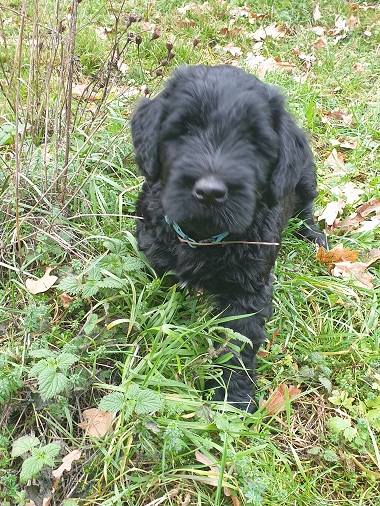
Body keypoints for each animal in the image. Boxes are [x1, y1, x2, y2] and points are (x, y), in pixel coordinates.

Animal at [131, 64, 326, 412]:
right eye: (184, 130)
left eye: (254, 142)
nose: (209, 192)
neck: (204, 237)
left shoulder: (248, 292)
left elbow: (237, 344)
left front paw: (231, 399)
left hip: (304, 177)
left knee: (305, 209)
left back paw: (316, 237)